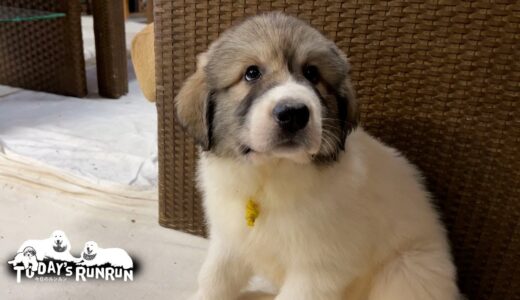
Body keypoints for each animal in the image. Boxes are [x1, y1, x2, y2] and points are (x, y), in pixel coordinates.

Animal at [177, 12, 462, 300]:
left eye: (312, 73)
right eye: (251, 73)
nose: (293, 113)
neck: (269, 175)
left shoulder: (317, 270)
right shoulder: (229, 241)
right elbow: (214, 279)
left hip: (406, 271)